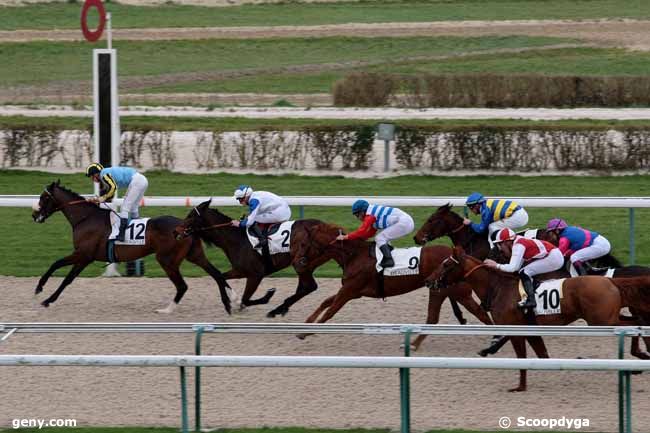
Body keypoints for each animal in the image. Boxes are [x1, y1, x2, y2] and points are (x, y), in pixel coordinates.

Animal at [31, 180, 233, 314]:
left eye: (43, 197)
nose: (34, 215)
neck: (86, 218)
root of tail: (186, 226)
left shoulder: (83, 255)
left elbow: (62, 273)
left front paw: (44, 295)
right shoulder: (83, 256)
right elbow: (61, 271)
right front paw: (43, 293)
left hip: (167, 259)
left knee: (182, 285)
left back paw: (166, 310)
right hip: (194, 254)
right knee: (216, 273)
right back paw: (230, 301)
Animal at [290, 221, 492, 346]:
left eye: (303, 244)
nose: (297, 262)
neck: (353, 255)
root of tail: (462, 256)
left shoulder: (349, 290)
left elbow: (330, 311)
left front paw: (306, 332)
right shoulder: (352, 291)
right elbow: (325, 302)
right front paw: (306, 324)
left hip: (451, 291)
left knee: (477, 313)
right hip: (443, 290)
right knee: (448, 316)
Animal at [422, 246, 648, 392]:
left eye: (446, 265)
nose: (428, 281)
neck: (499, 288)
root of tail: (612, 282)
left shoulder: (515, 329)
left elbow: (521, 356)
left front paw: (519, 386)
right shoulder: (529, 328)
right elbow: (542, 355)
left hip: (602, 321)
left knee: (636, 323)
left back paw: (640, 354)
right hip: (608, 317)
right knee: (637, 321)